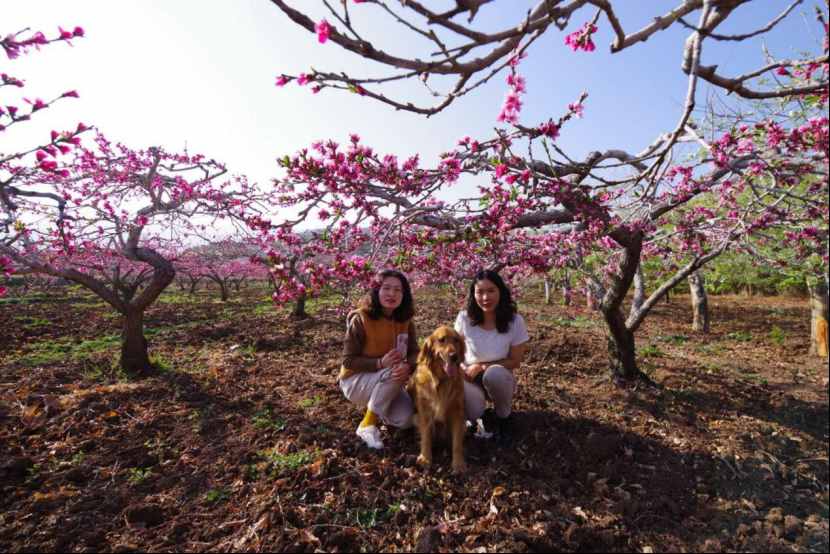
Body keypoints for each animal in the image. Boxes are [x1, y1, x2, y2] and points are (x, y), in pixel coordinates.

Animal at [410, 324, 468, 470]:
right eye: (442, 340)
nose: (454, 356)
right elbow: (426, 437)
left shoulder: (457, 412)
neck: (442, 380)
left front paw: (458, 463)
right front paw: (425, 458)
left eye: (456, 340)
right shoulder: (424, 411)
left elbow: (457, 442)